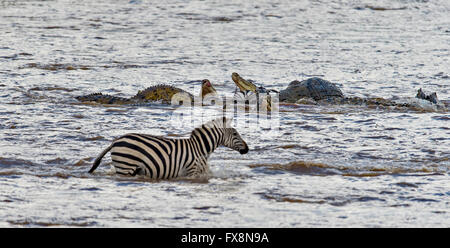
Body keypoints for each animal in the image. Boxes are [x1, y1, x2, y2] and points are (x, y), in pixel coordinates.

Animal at [89, 117, 250, 178]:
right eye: (235, 133)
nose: (247, 149)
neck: (200, 149)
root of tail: (115, 141)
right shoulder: (191, 171)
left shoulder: (201, 171)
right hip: (125, 166)